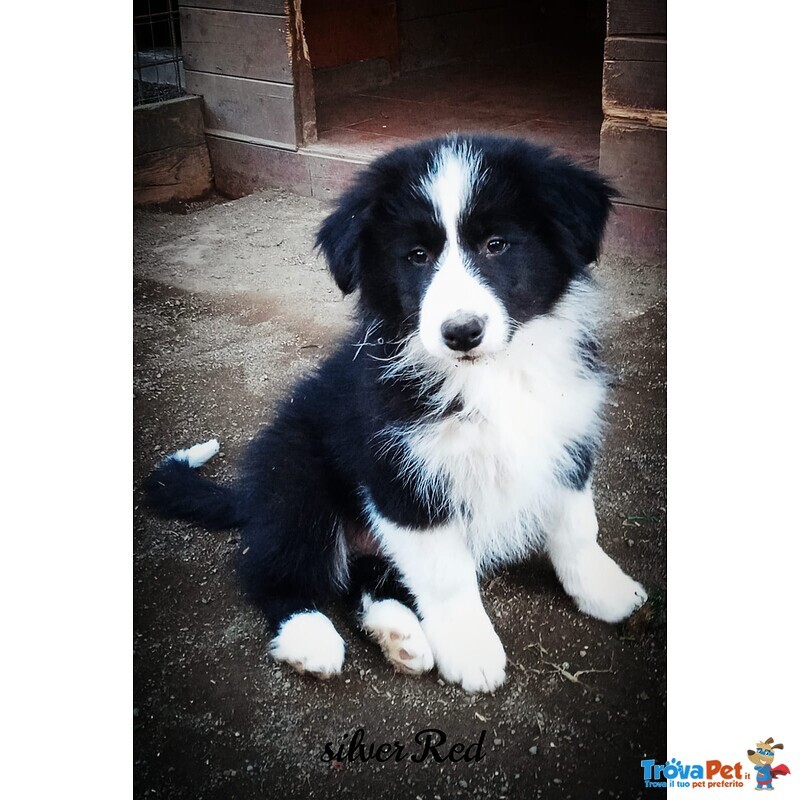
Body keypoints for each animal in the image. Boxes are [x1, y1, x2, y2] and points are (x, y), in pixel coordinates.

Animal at [145, 133, 648, 692]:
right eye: (417, 255)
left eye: (497, 244)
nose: (461, 332)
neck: (490, 375)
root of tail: (251, 498)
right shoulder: (401, 476)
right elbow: (447, 574)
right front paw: (472, 650)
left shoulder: (566, 437)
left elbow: (578, 526)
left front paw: (606, 592)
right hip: (296, 479)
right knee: (273, 572)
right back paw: (309, 637)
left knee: (365, 576)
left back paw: (399, 635)